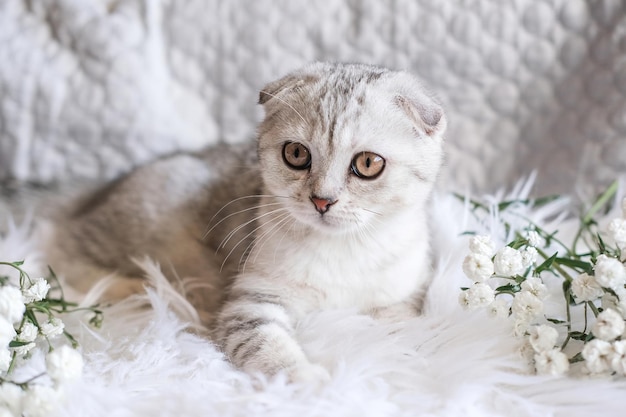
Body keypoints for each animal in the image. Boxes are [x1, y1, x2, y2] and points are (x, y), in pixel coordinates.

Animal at [44, 60, 444, 382]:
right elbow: (267, 345)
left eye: (368, 163)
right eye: (296, 154)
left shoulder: (403, 297)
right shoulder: (251, 301)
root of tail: (97, 193)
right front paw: (304, 379)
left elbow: (395, 333)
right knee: (66, 248)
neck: (343, 250)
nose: (322, 200)